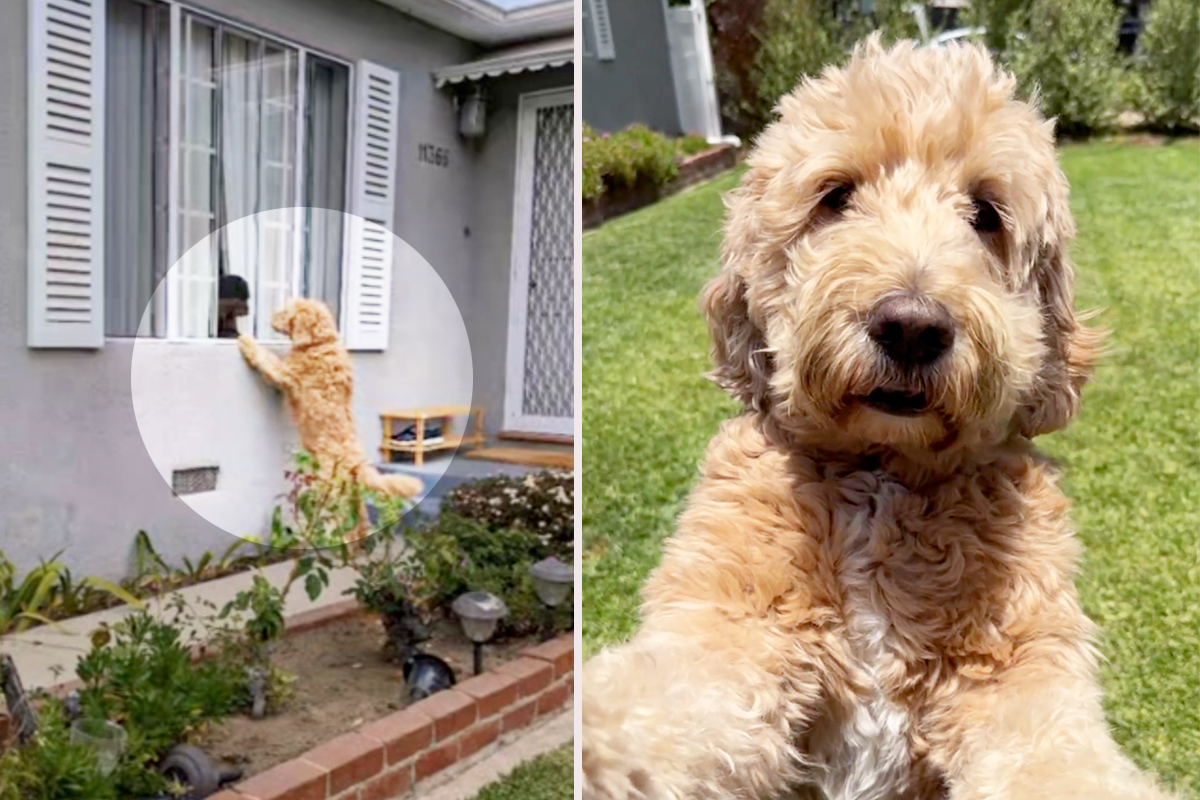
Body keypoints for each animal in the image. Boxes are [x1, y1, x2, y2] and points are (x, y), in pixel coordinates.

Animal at [583, 37, 1180, 800]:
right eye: (836, 197)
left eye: (986, 213)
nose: (912, 327)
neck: (882, 478)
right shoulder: (733, 622)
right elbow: (681, 701)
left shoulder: (1019, 665)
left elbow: (1055, 758)